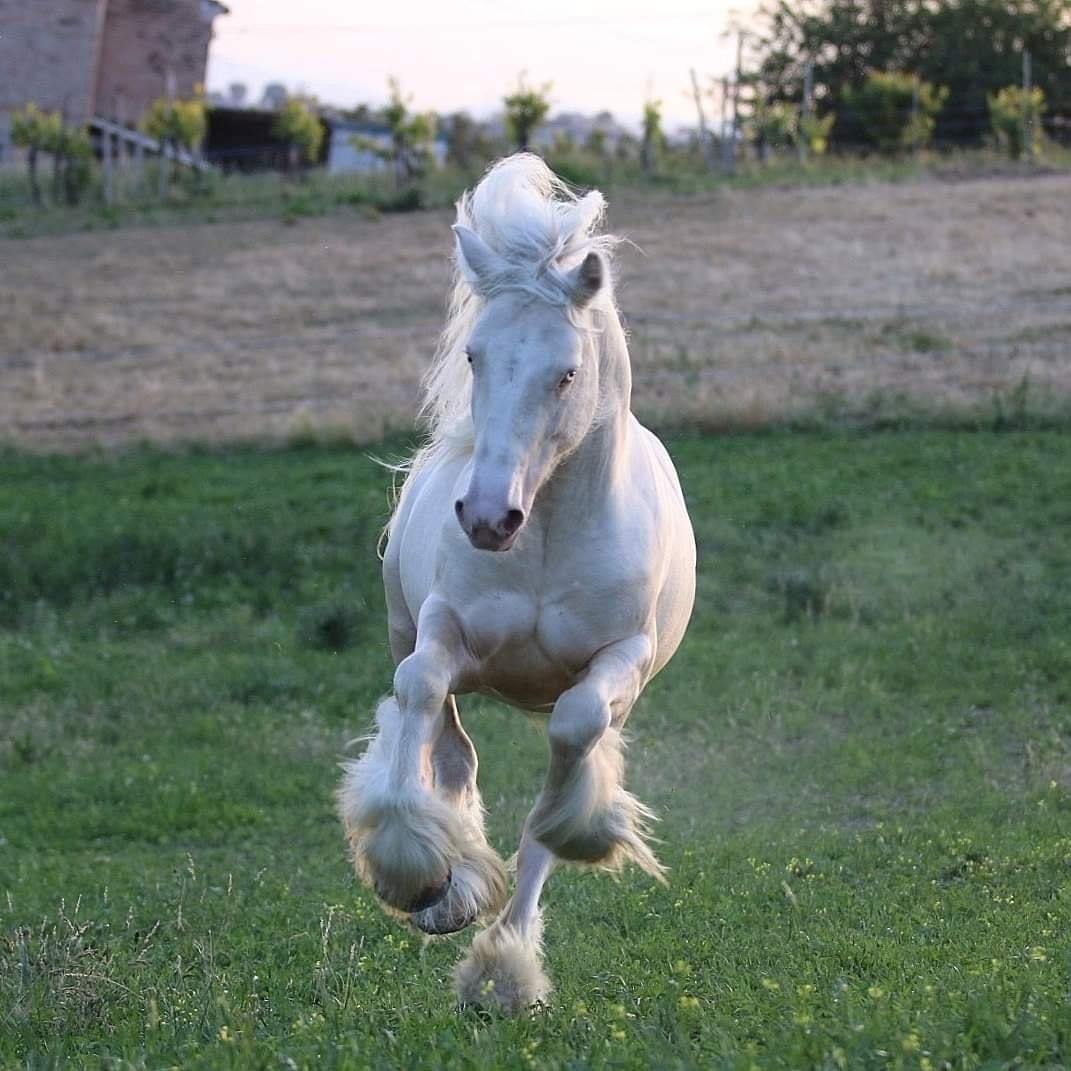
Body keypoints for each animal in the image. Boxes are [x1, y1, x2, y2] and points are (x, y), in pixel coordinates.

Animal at [338, 155, 698, 1015]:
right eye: (474, 355)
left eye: (565, 372)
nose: (486, 516)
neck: (546, 537)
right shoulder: (444, 630)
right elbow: (420, 690)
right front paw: (414, 871)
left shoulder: (620, 661)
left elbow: (567, 756)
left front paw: (571, 847)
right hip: (412, 626)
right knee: (448, 740)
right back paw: (449, 888)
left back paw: (501, 961)